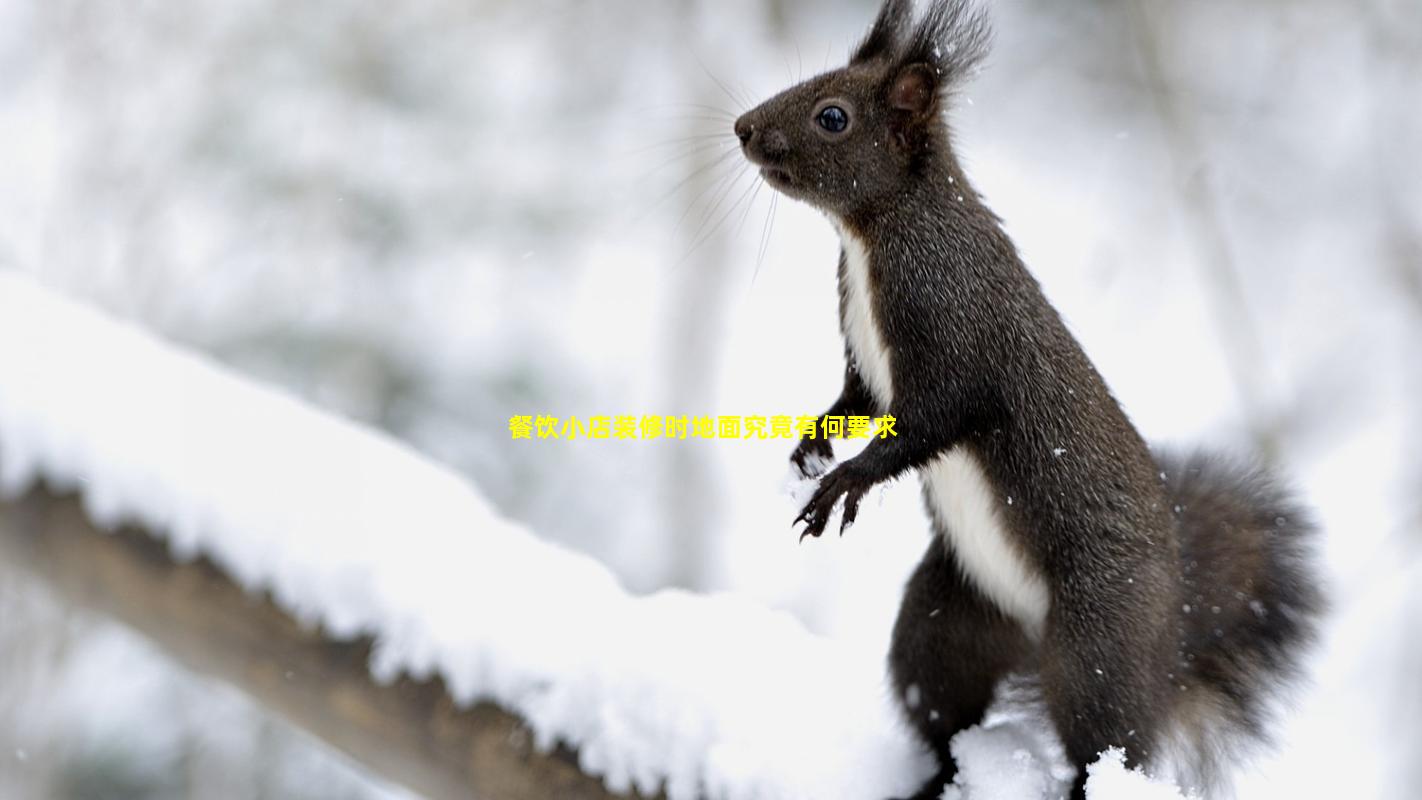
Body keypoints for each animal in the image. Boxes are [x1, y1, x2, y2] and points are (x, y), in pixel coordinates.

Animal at [733, 1, 1319, 800]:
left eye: (833, 116)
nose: (742, 128)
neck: (875, 233)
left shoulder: (953, 331)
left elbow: (932, 421)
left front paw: (845, 481)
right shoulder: (864, 360)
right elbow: (854, 400)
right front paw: (813, 443)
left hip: (1097, 641)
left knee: (1108, 742)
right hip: (947, 621)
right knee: (938, 703)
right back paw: (933, 779)